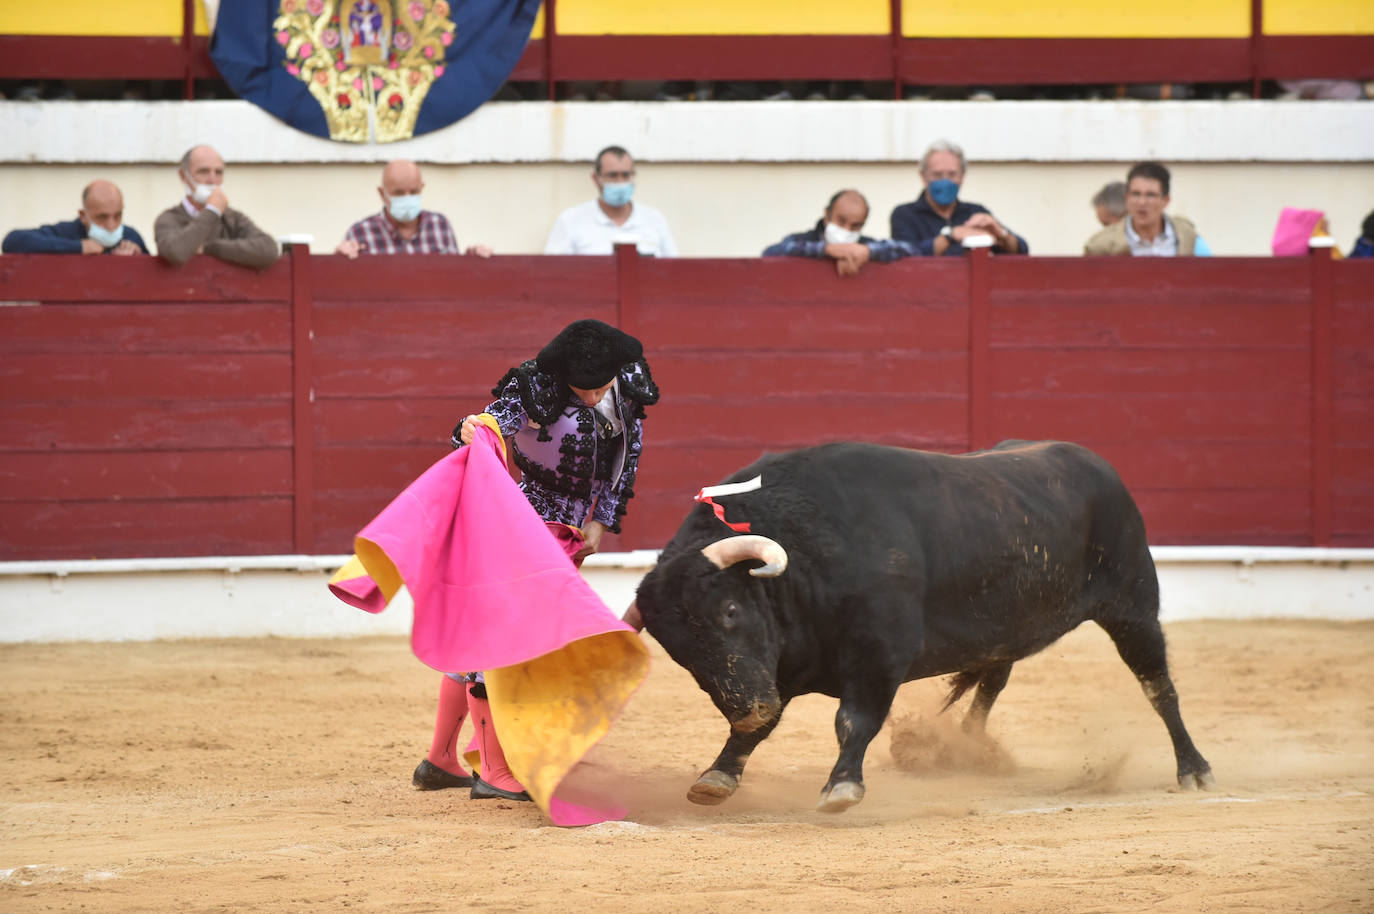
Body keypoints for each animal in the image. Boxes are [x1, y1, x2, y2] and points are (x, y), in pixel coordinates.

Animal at [634, 439, 1214, 808]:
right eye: (678, 651)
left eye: (730, 611)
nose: (746, 707)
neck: (807, 552)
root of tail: (1095, 463)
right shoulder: (781, 667)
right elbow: (762, 729)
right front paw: (717, 776)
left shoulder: (879, 656)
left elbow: (854, 721)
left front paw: (841, 788)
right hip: (1005, 628)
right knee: (993, 680)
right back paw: (966, 753)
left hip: (1133, 606)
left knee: (1158, 686)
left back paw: (1194, 770)